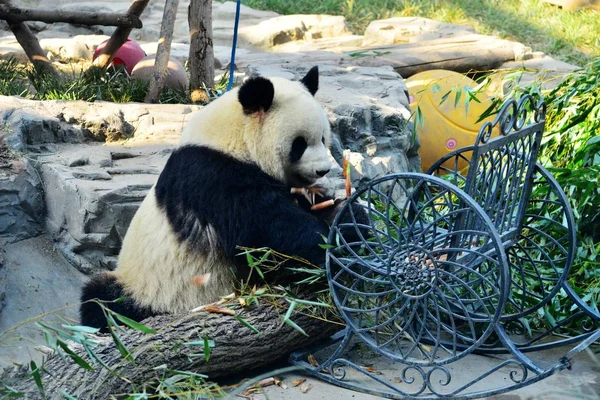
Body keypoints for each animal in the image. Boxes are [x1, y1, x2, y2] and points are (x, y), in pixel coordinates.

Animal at [78, 65, 366, 330]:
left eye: (323, 138)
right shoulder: (213, 177)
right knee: (101, 300)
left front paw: (347, 216)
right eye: (300, 144)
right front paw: (334, 242)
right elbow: (268, 236)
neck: (232, 138)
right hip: (148, 288)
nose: (323, 170)